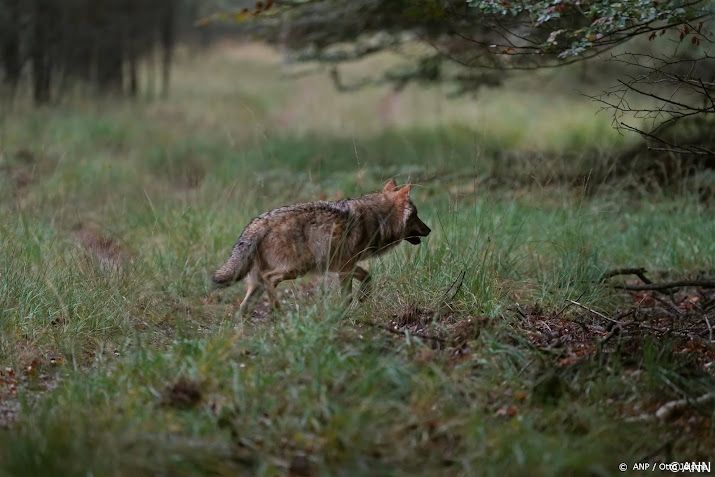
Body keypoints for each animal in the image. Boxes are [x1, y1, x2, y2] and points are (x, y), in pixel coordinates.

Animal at [214, 180, 430, 314]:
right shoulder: (345, 268)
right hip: (295, 269)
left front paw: (363, 298)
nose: (429, 230)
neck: (378, 219)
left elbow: (368, 277)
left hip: (258, 282)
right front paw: (343, 312)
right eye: (417, 215)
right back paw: (278, 312)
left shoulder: (345, 266)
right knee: (270, 280)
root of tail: (259, 222)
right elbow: (347, 295)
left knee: (242, 309)